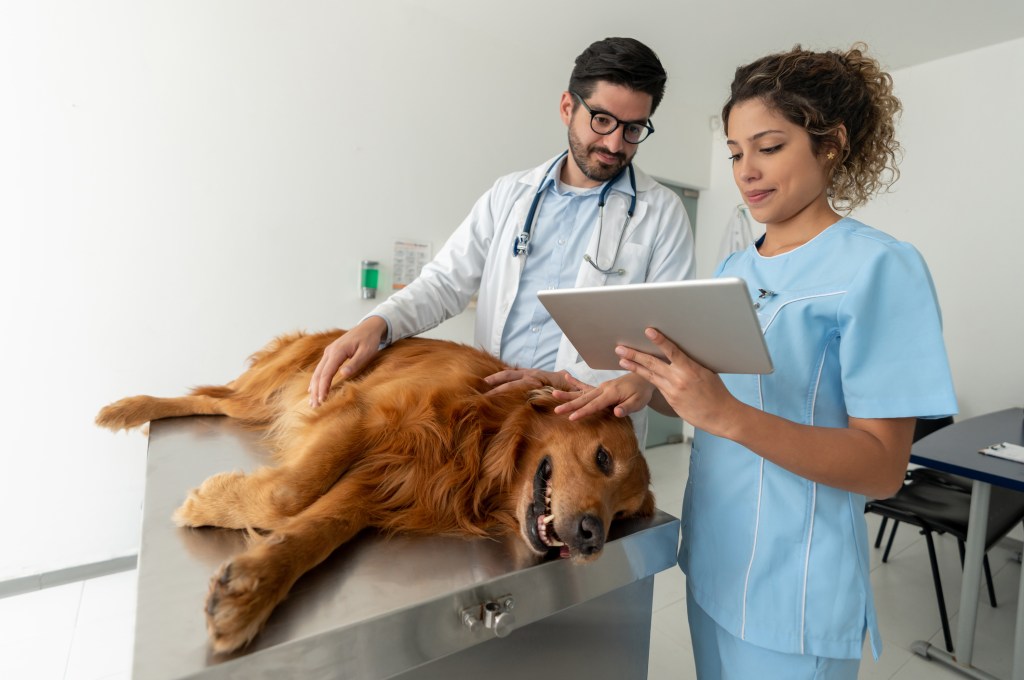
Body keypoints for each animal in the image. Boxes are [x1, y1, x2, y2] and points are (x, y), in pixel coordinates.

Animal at [96, 329, 655, 655]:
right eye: (603, 458)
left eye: (624, 516)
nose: (593, 537)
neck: (486, 444)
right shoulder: (360, 413)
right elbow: (288, 494)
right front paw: (211, 502)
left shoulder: (380, 487)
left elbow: (315, 532)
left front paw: (247, 592)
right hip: (292, 379)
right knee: (212, 398)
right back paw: (130, 408)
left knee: (217, 401)